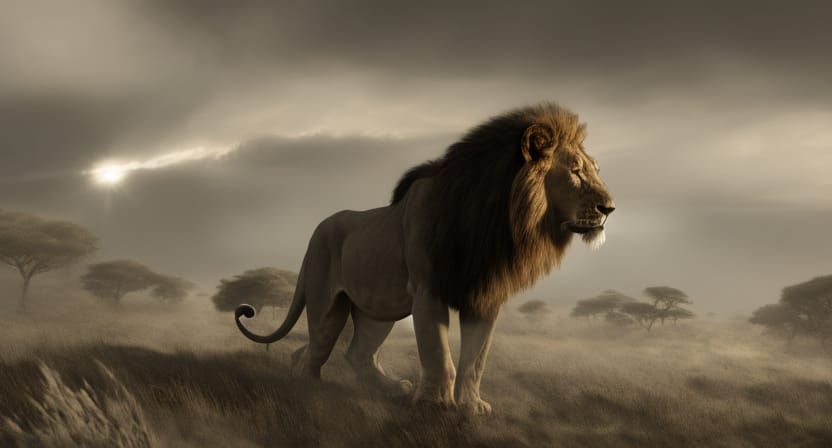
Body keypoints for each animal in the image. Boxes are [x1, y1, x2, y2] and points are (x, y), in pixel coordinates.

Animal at [235, 103, 615, 414]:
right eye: (576, 171)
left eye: (596, 169)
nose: (609, 208)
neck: (496, 222)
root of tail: (315, 232)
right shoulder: (428, 291)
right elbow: (437, 353)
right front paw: (435, 404)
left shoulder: (486, 296)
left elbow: (476, 359)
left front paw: (472, 406)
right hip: (327, 302)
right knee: (316, 349)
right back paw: (311, 389)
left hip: (379, 308)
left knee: (358, 352)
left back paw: (391, 389)